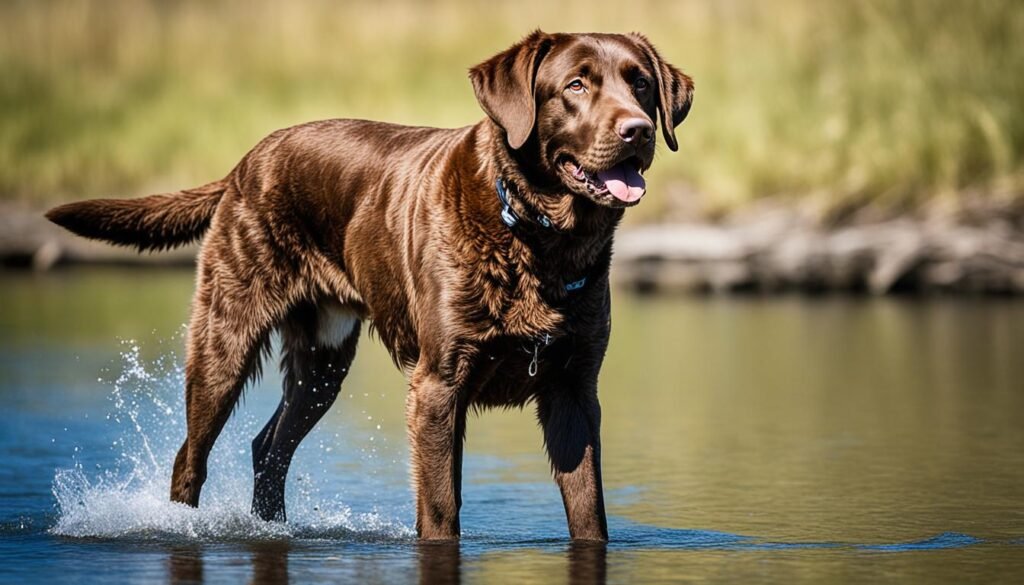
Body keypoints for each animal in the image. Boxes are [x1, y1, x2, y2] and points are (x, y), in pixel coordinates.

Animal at [44, 30, 692, 545]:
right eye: (576, 85)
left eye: (639, 84)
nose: (638, 131)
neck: (538, 239)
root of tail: (245, 161)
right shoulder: (438, 385)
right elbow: (441, 509)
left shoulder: (574, 390)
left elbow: (589, 513)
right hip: (225, 333)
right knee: (192, 453)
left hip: (323, 359)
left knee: (269, 447)